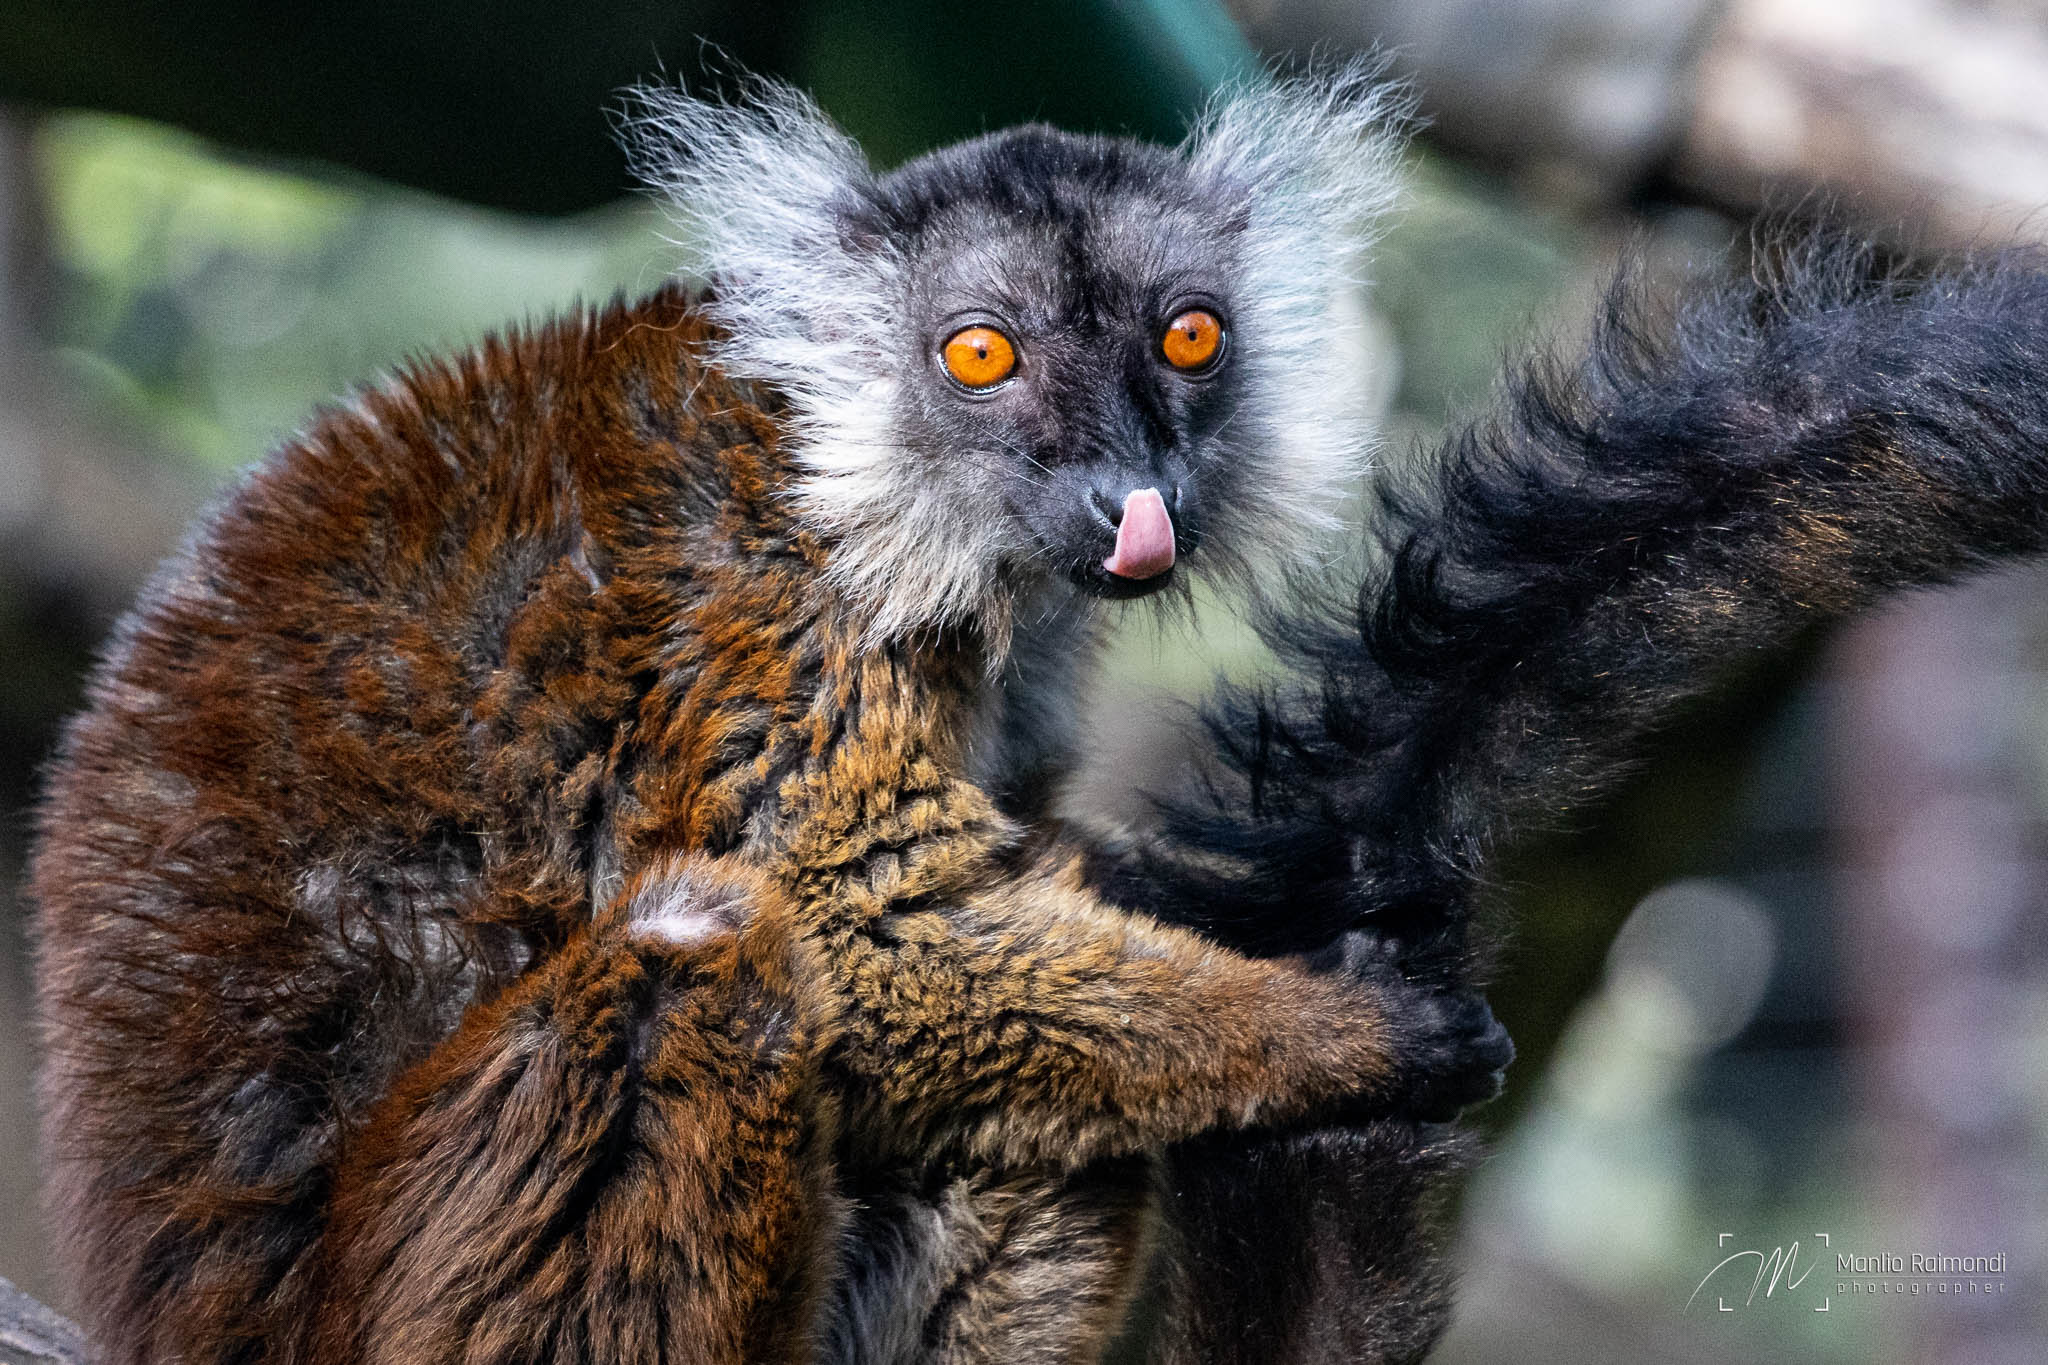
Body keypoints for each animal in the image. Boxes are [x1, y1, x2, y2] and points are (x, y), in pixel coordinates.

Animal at [29, 68, 1513, 1365]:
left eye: (1187, 337)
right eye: (982, 354)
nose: (1124, 495)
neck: (846, 464)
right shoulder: (780, 615)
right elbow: (855, 925)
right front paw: (1354, 1032)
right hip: (413, 1306)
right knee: (704, 939)